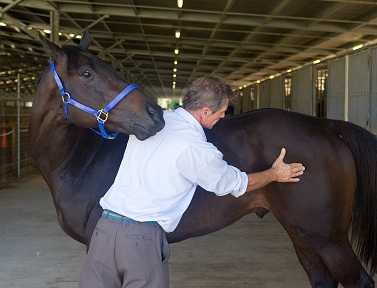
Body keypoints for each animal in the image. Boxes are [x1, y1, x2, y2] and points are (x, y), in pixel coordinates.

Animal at [30, 30, 376, 286]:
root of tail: (327, 125)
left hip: (329, 238)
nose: (155, 114)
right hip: (301, 234)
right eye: (87, 73)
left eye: (104, 70)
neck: (81, 161)